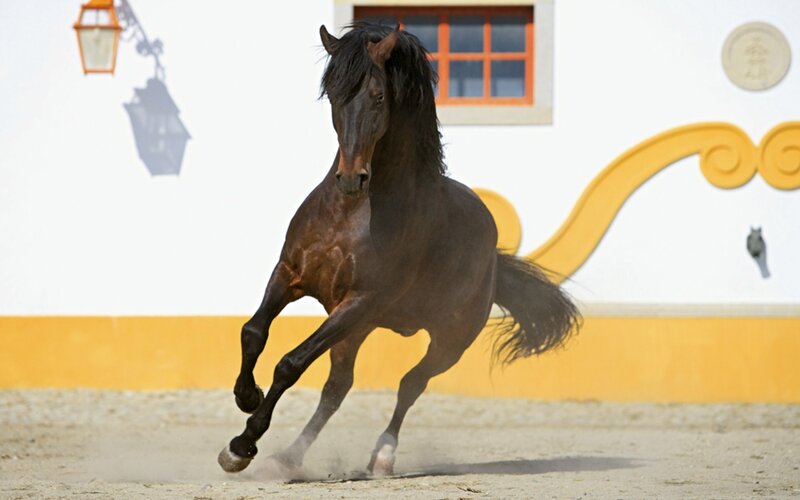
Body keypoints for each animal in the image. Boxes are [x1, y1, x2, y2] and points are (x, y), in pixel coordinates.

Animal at [218, 23, 580, 477]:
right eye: (334, 95)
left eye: (378, 96)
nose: (351, 178)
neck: (351, 211)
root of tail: (493, 260)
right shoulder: (290, 275)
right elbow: (254, 332)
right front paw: (245, 396)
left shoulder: (361, 300)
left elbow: (291, 363)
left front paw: (241, 445)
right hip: (357, 328)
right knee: (338, 388)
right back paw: (288, 458)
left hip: (448, 339)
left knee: (411, 384)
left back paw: (382, 456)